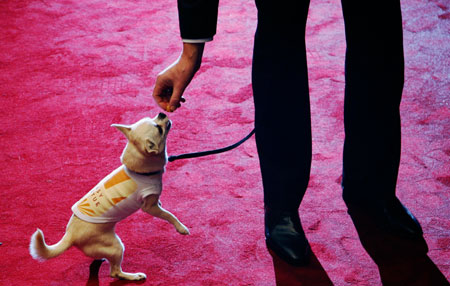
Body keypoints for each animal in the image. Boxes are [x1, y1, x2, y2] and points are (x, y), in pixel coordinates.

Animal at [29, 113, 188, 280]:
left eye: (153, 118)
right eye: (159, 129)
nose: (162, 114)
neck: (140, 170)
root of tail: (70, 235)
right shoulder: (149, 207)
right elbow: (169, 215)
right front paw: (181, 228)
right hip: (116, 246)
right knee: (115, 272)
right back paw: (134, 276)